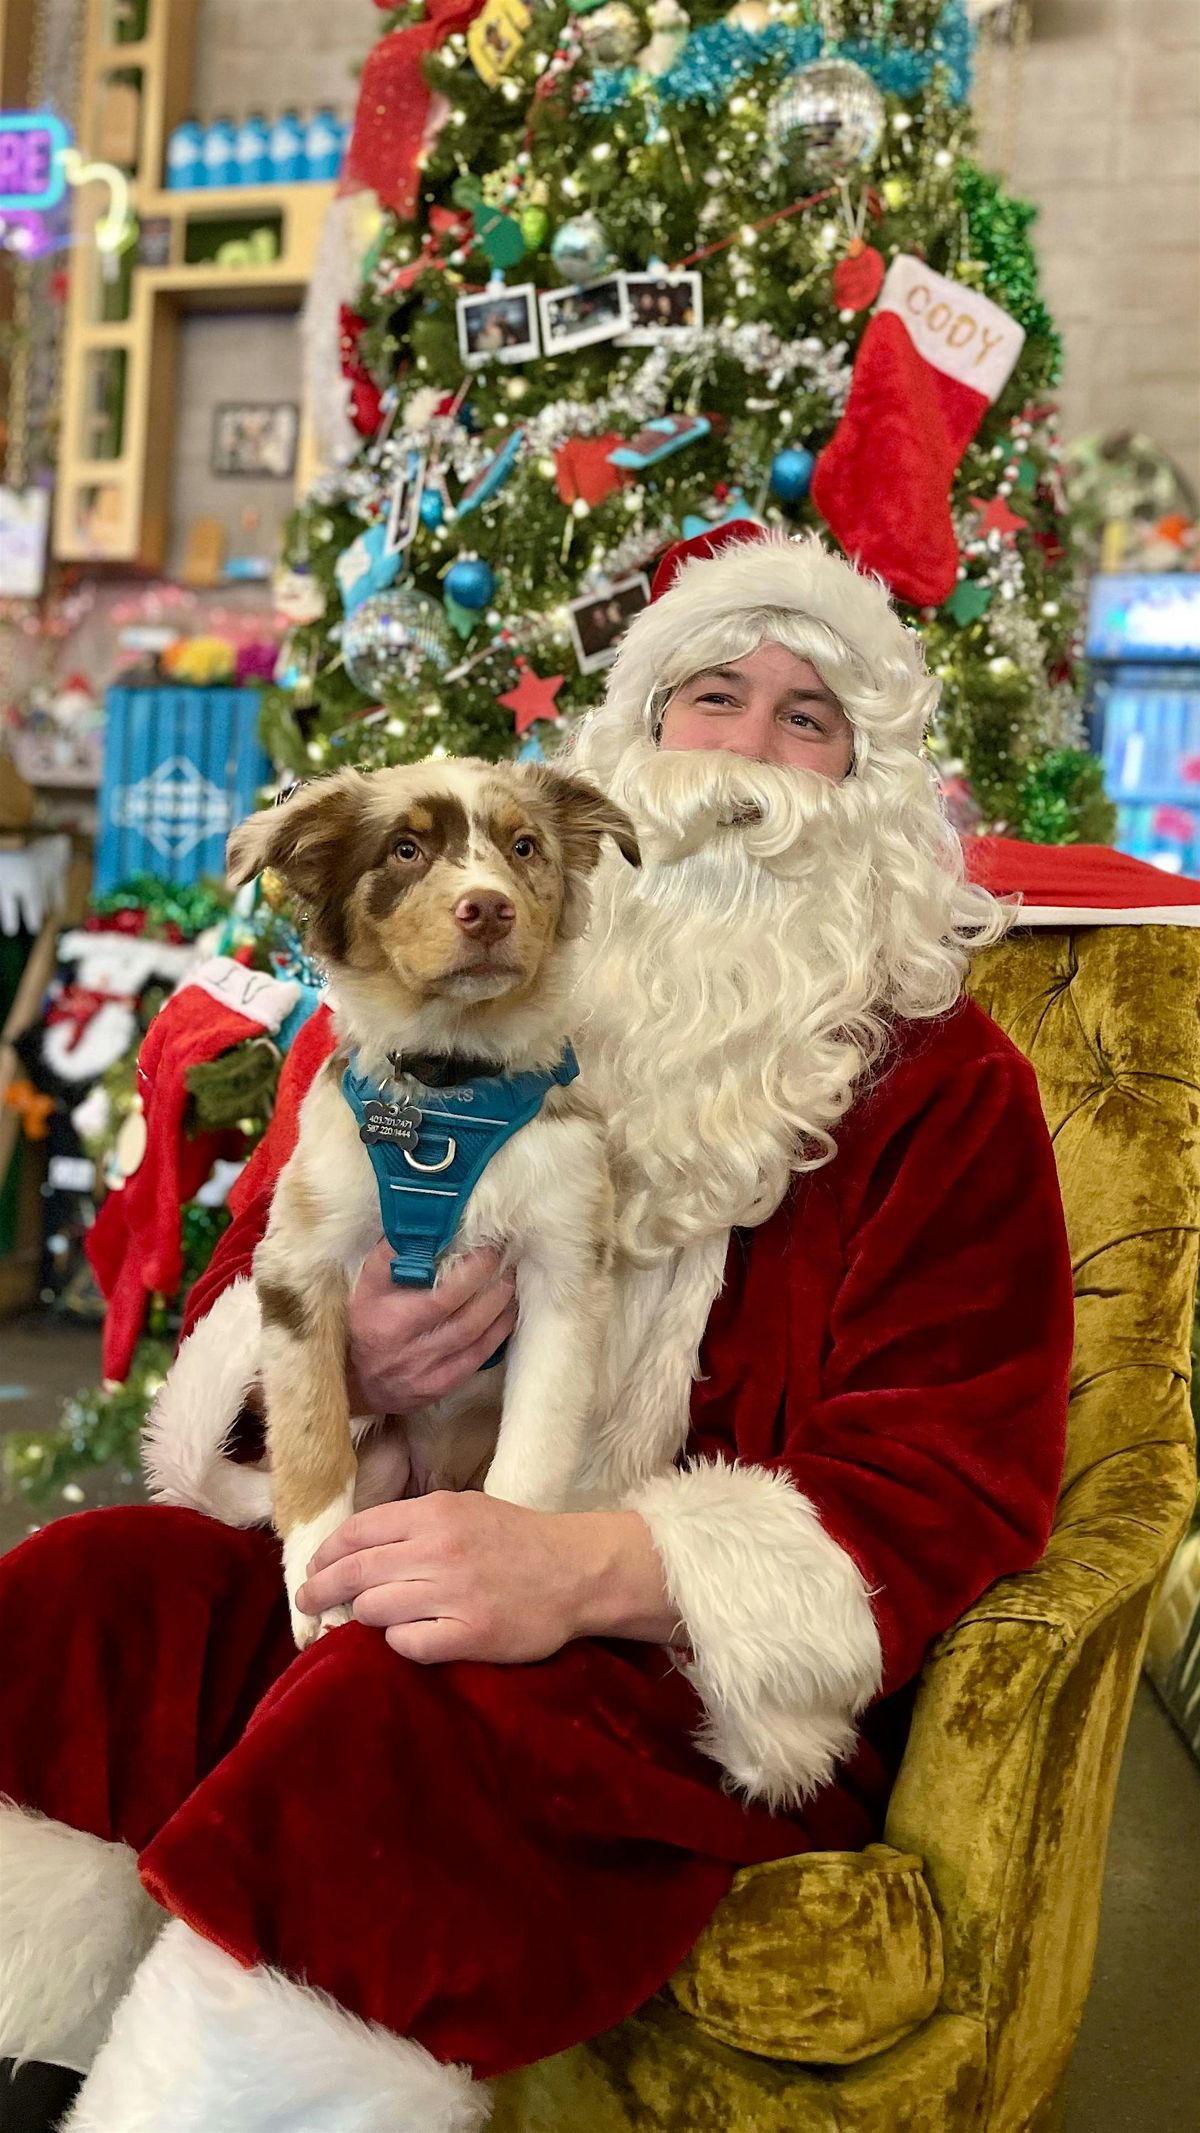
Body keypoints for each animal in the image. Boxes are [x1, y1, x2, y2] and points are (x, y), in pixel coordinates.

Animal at [223, 755, 639, 1646]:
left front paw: (505, 1566)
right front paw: (317, 1589)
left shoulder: (565, 1272)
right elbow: (309, 1437)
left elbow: (535, 1444)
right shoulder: (297, 1262)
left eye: (524, 846)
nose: (488, 908)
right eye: (406, 849)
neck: (450, 1091)